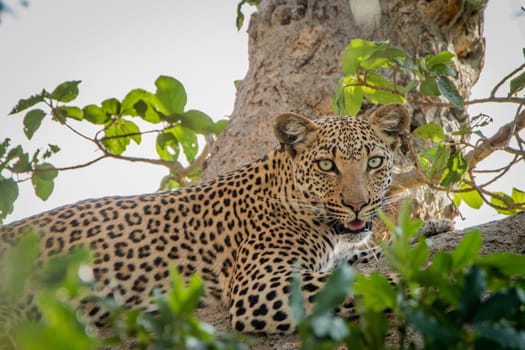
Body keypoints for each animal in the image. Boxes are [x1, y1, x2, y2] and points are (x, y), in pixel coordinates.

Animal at [0, 103, 410, 334]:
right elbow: (366, 284)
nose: (358, 204)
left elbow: (363, 256)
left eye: (374, 162)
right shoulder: (259, 286)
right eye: (327, 165)